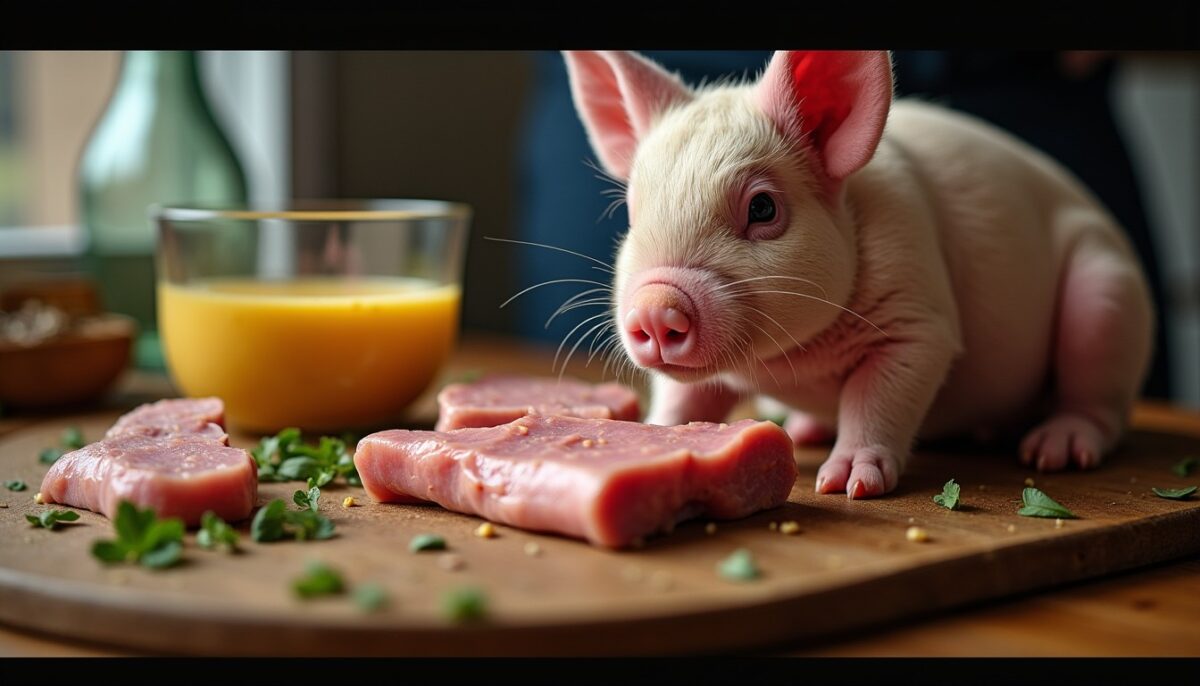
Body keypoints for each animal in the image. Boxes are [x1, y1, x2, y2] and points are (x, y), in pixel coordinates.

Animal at [561, 50, 1154, 499]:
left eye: (762, 208)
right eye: (633, 211)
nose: (654, 308)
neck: (793, 365)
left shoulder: (917, 316)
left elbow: (877, 397)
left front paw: (845, 485)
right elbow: (684, 400)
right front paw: (652, 435)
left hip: (1108, 295)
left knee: (1099, 400)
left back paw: (1054, 451)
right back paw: (804, 428)